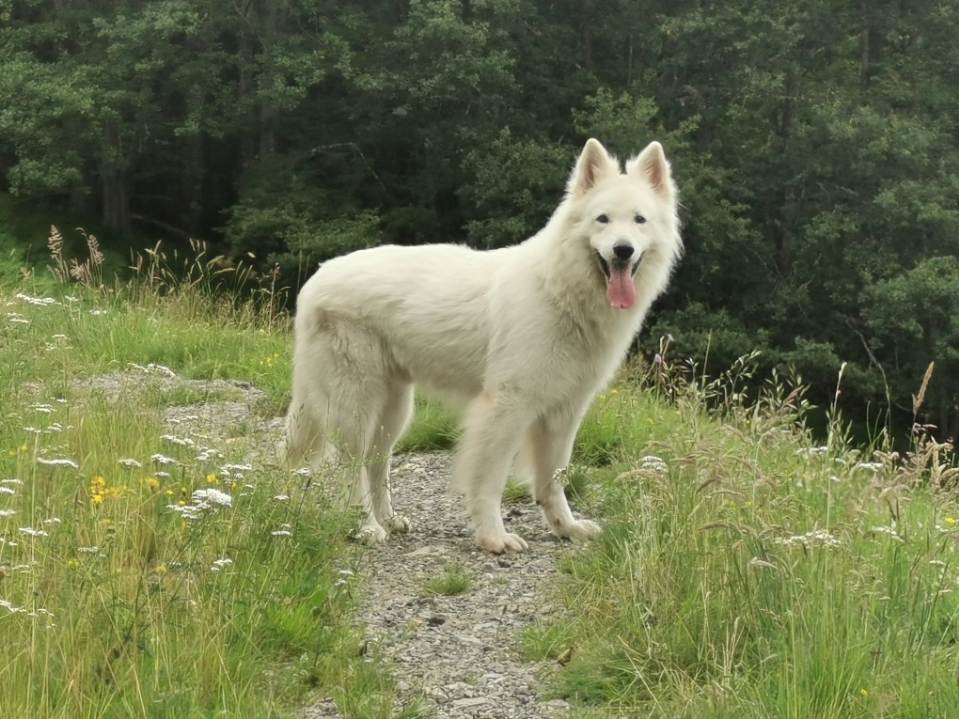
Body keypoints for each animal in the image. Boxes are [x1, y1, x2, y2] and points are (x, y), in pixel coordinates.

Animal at [284, 138, 684, 556]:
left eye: (639, 220)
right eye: (602, 219)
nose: (623, 250)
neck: (559, 290)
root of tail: (316, 277)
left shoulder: (565, 412)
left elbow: (554, 478)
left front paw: (566, 527)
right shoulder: (506, 408)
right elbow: (490, 480)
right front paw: (494, 536)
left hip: (394, 411)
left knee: (376, 464)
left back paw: (388, 520)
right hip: (356, 406)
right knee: (348, 466)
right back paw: (363, 527)